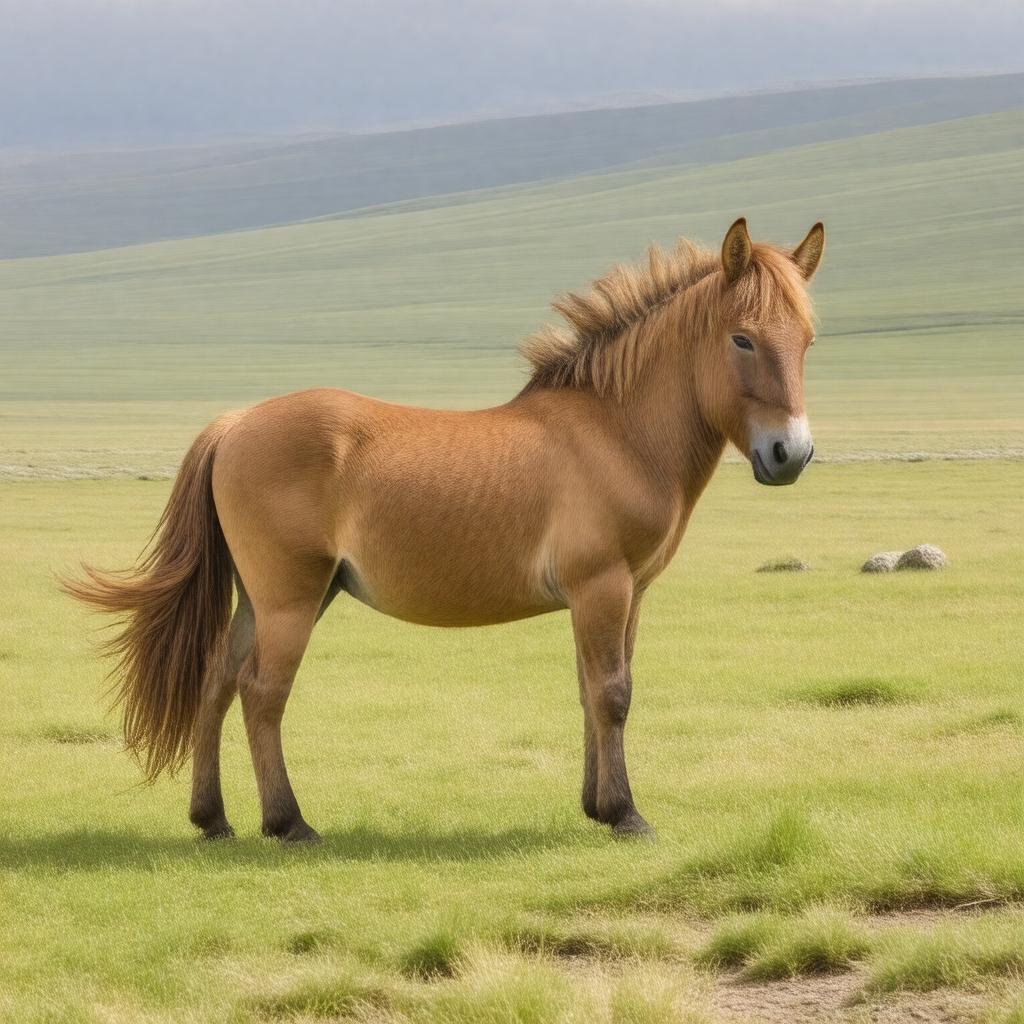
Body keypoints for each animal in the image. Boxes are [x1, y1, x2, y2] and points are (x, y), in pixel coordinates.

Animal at [64, 217, 825, 843]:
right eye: (742, 337)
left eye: (809, 340)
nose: (790, 454)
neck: (615, 432)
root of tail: (236, 422)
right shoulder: (603, 587)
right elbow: (613, 694)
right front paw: (627, 814)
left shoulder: (624, 594)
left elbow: (592, 688)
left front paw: (596, 805)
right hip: (291, 599)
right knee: (261, 691)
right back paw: (288, 823)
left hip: (265, 597)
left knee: (218, 682)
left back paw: (213, 819)